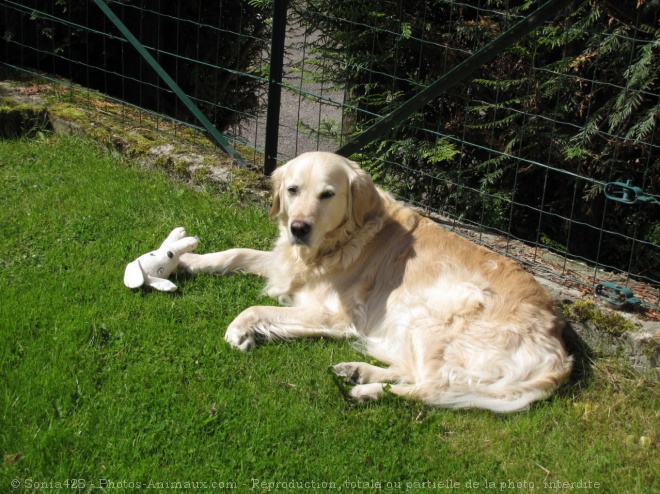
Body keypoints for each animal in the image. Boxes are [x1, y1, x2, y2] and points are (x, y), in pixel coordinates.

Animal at [180, 152, 572, 412]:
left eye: (327, 194)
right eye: (292, 190)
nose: (298, 228)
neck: (342, 240)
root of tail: (558, 348)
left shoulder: (335, 316)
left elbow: (254, 307)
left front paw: (239, 329)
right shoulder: (285, 265)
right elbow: (236, 253)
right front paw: (187, 260)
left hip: (433, 315)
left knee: (434, 388)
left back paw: (368, 392)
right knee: (415, 373)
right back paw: (358, 372)